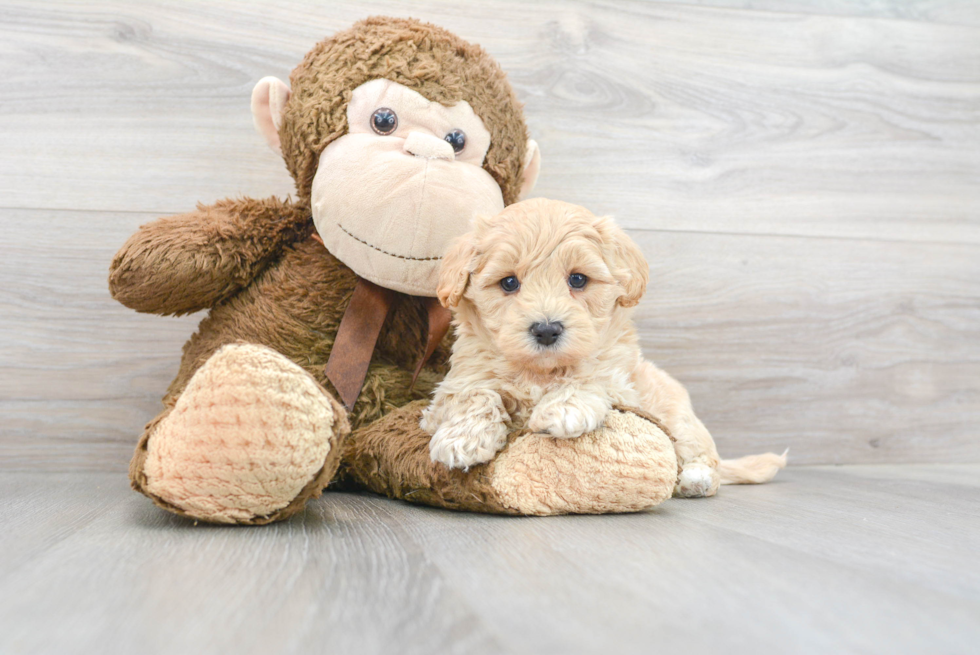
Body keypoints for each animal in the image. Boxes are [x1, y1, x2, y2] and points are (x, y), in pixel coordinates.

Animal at [418, 200, 784, 498]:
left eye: (578, 280)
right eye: (509, 283)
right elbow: (475, 394)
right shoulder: (451, 388)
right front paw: (462, 438)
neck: (541, 372)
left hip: (678, 416)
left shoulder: (621, 384)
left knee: (705, 455)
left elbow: (591, 378)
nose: (547, 330)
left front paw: (563, 408)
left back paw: (696, 479)